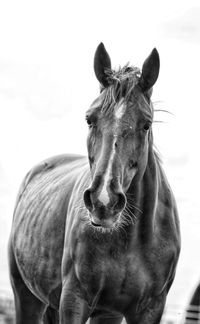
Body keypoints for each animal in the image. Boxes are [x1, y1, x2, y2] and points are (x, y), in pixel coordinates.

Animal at [7, 43, 180, 324]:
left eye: (146, 124)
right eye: (90, 119)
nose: (103, 202)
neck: (129, 241)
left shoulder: (150, 309)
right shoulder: (74, 299)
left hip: (101, 312)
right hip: (26, 295)